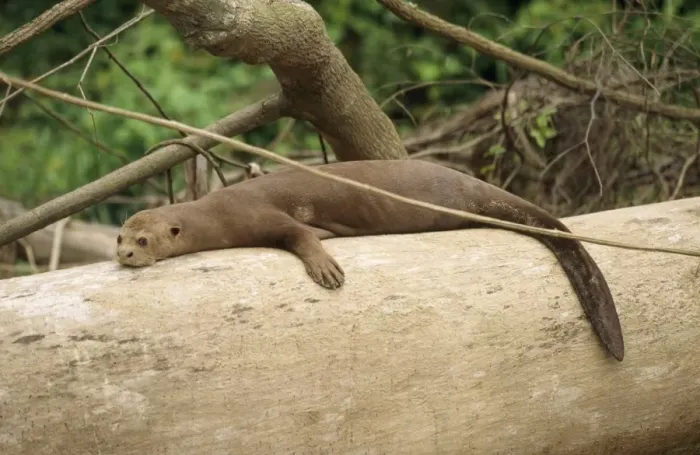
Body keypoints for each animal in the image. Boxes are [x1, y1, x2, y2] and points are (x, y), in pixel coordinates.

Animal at [116, 159, 624, 361]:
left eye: (142, 240)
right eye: (120, 235)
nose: (123, 254)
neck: (215, 213)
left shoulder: (259, 216)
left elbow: (300, 234)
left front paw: (325, 269)